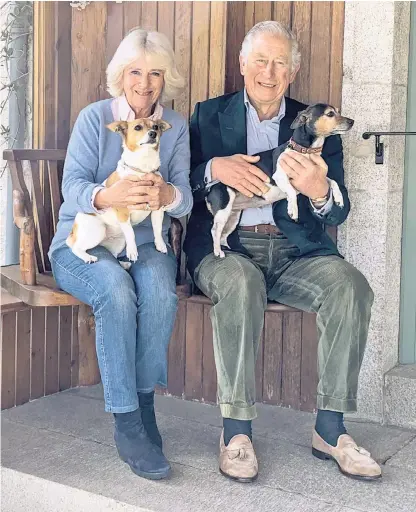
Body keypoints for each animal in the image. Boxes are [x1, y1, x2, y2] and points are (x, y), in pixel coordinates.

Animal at [67, 117, 171, 266]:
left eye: (156, 127)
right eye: (138, 127)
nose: (153, 133)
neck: (142, 170)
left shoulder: (157, 210)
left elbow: (157, 229)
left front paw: (160, 245)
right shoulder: (123, 213)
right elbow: (131, 234)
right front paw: (132, 251)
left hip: (119, 242)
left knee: (114, 256)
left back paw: (124, 264)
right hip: (98, 229)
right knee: (75, 248)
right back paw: (88, 257)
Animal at [205, 104, 354, 258]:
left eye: (337, 112)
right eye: (330, 114)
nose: (352, 121)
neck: (305, 151)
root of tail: (210, 189)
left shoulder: (316, 175)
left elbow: (332, 181)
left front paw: (339, 199)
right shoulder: (279, 176)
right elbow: (292, 192)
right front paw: (293, 209)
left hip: (232, 217)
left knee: (223, 235)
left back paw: (228, 249)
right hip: (223, 211)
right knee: (215, 231)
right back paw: (218, 251)